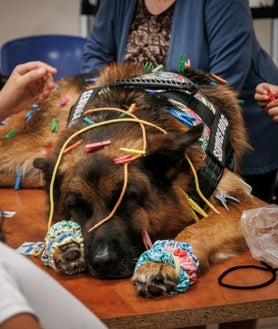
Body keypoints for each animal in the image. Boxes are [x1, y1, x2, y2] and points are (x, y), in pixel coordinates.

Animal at [0, 64, 256, 298]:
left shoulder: (241, 203)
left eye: (126, 199)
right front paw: (66, 246)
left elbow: (196, 229)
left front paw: (162, 261)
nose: (102, 262)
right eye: (76, 206)